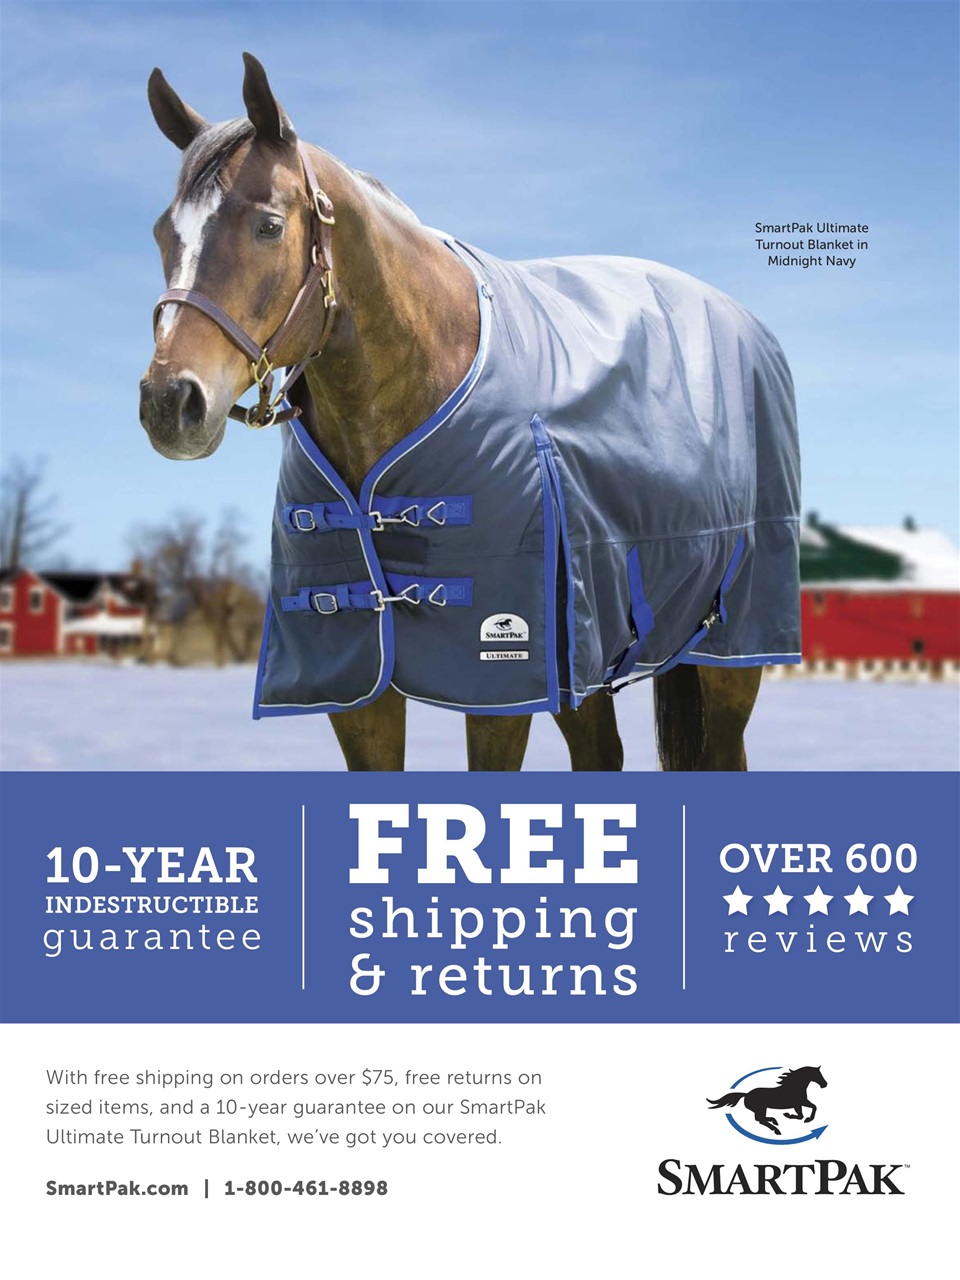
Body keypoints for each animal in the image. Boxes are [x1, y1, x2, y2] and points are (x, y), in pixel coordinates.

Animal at [140, 54, 800, 772]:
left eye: (268, 225)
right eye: (163, 232)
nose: (169, 402)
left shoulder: (499, 681)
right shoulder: (359, 689)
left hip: (729, 650)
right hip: (585, 658)